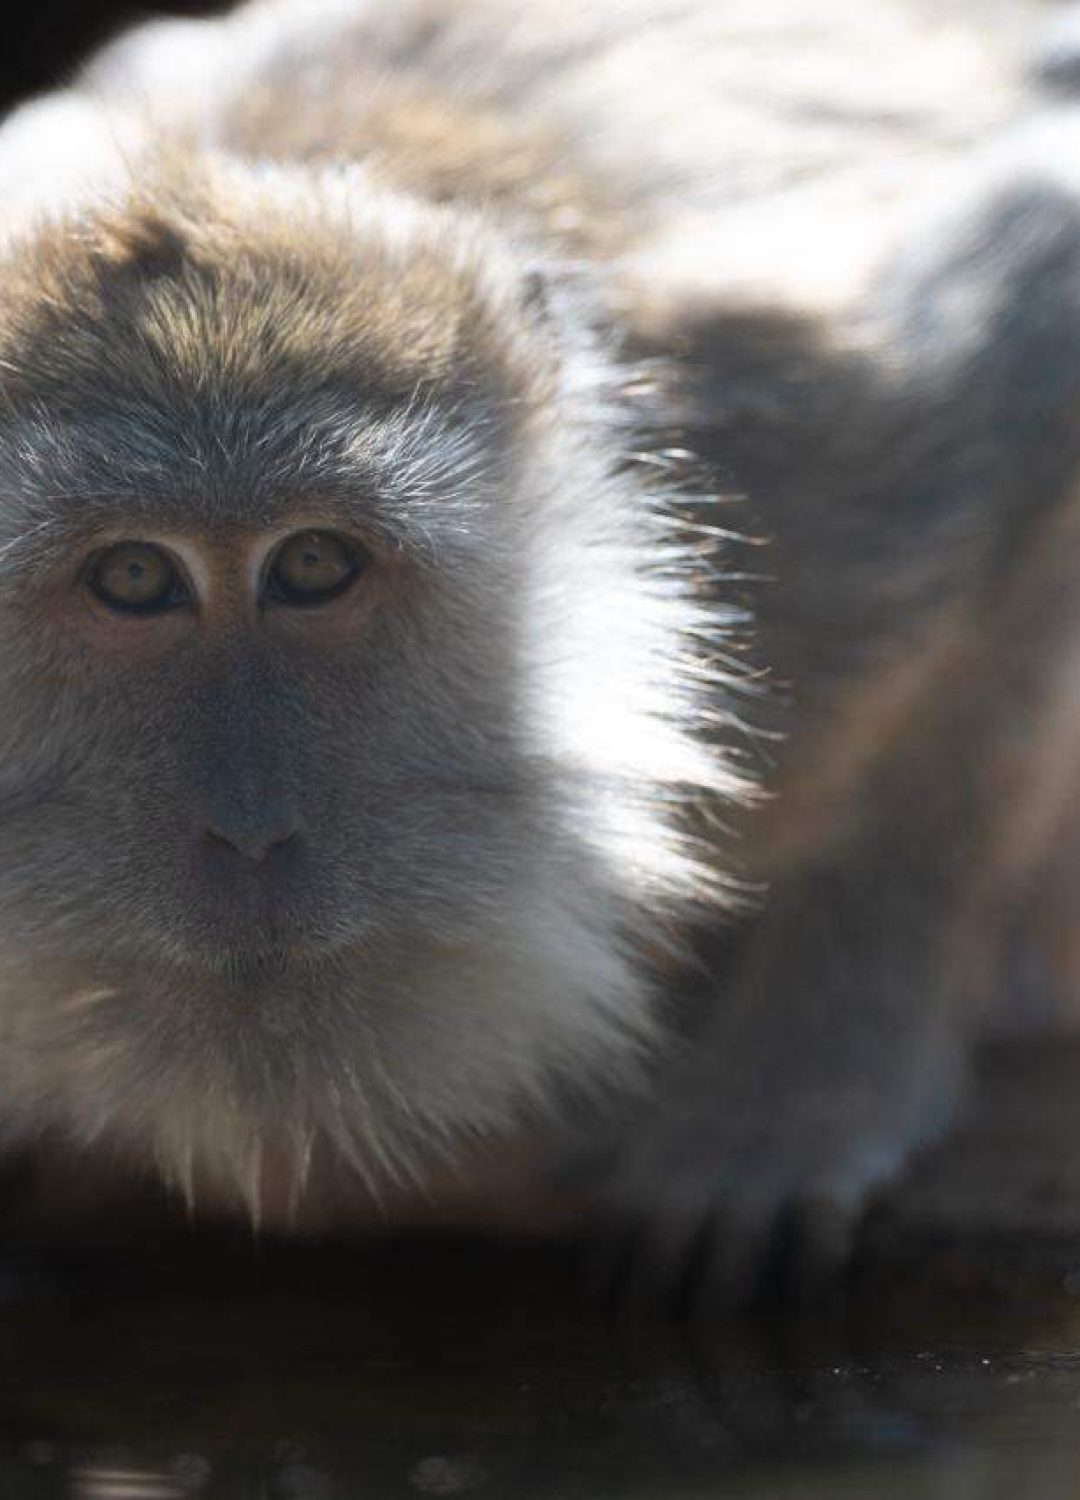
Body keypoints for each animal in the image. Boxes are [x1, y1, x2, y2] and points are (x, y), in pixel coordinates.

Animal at [0, 0, 1071, 1304]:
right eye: (135, 581)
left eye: (312, 568)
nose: (250, 832)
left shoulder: (794, 481)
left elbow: (1039, 315)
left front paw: (807, 1094)